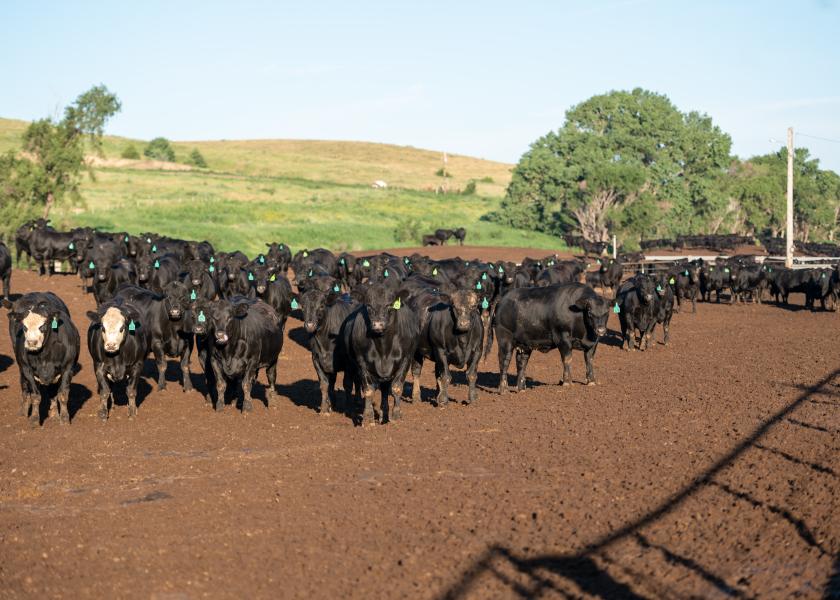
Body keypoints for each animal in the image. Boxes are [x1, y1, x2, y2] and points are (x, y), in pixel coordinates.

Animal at [3, 292, 80, 426]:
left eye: (42, 326)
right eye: (24, 326)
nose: (31, 342)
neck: (44, 356)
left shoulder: (68, 368)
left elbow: (62, 394)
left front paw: (64, 419)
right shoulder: (27, 369)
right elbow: (35, 396)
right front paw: (34, 418)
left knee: (53, 391)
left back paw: (54, 414)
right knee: (24, 385)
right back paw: (24, 412)